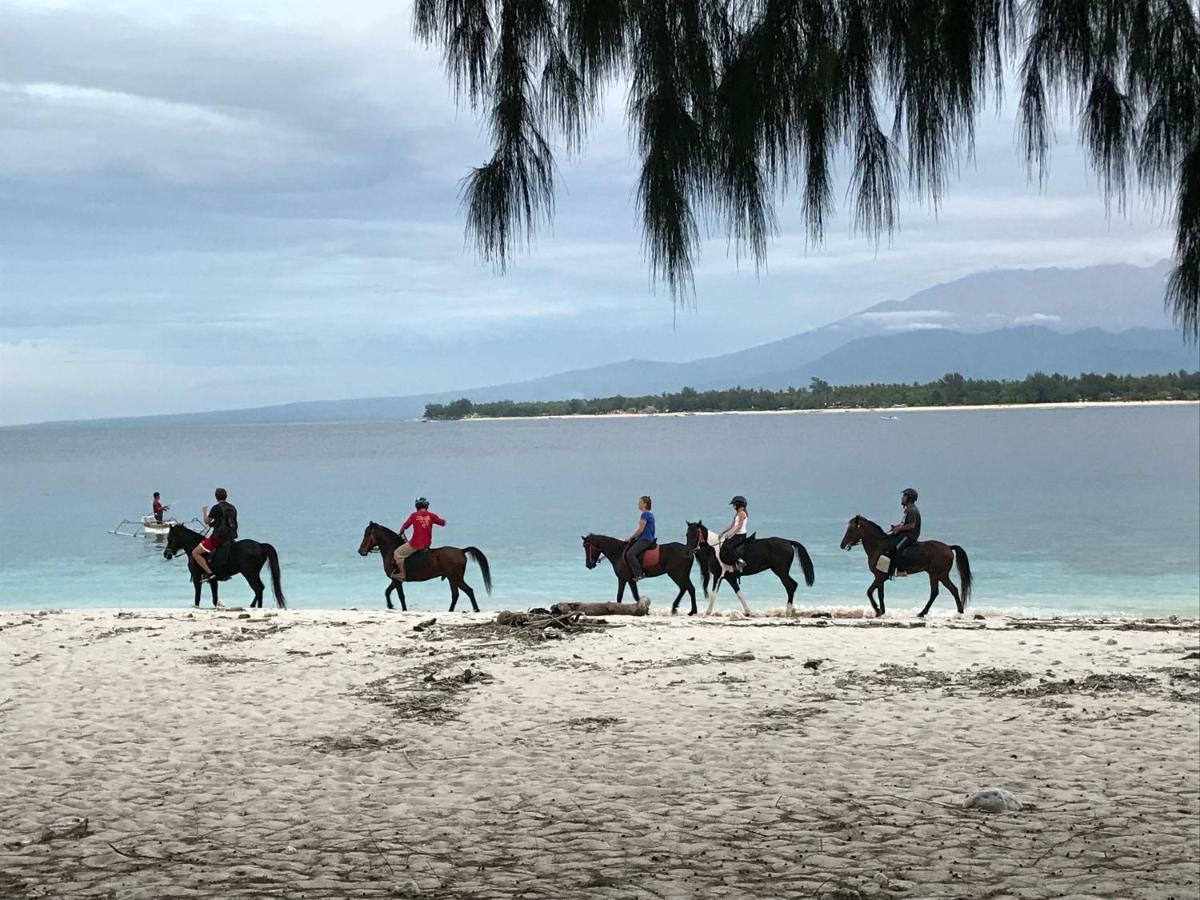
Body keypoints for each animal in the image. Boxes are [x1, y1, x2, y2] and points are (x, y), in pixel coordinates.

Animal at [355, 520, 492, 614]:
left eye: (367, 534)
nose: (360, 551)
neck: (392, 549)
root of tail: (461, 551)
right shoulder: (395, 580)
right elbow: (387, 591)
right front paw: (390, 606)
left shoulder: (396, 580)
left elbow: (401, 596)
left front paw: (403, 609)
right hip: (452, 578)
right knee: (457, 594)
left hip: (455, 578)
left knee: (467, 591)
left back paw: (474, 609)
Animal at [686, 525, 816, 619]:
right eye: (687, 534)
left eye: (695, 533)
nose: (689, 551)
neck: (715, 549)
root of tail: (788, 542)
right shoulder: (730, 578)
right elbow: (739, 594)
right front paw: (748, 612)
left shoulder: (718, 576)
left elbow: (713, 594)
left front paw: (707, 612)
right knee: (792, 585)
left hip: (780, 571)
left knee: (790, 586)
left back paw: (788, 612)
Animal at [840, 513, 969, 619]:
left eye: (850, 529)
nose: (842, 545)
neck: (878, 546)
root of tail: (948, 547)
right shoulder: (879, 576)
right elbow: (880, 594)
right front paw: (881, 611)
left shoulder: (880, 577)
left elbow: (869, 591)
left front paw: (877, 610)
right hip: (940, 575)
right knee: (951, 590)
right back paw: (958, 613)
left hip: (936, 574)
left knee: (936, 592)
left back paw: (925, 613)